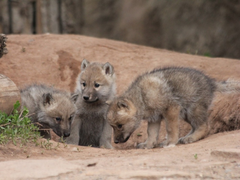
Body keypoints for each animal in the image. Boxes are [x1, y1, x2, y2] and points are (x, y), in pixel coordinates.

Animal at [107, 67, 240, 148]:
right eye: (112, 126)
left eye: (120, 125)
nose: (116, 142)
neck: (142, 96)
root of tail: (211, 83)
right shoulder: (154, 118)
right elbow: (151, 133)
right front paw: (148, 145)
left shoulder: (171, 109)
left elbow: (171, 128)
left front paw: (170, 142)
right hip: (186, 113)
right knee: (196, 126)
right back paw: (186, 137)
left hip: (193, 110)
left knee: (205, 126)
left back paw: (190, 138)